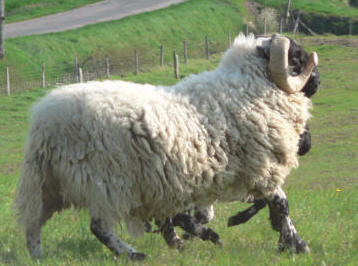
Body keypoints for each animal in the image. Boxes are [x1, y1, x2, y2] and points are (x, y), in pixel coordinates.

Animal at [16, 33, 318, 260]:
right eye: (297, 56)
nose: (316, 80)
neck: (251, 86)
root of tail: (44, 120)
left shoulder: (242, 175)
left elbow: (263, 206)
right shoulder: (259, 168)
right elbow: (281, 203)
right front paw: (297, 244)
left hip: (50, 182)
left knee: (34, 222)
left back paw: (38, 256)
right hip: (107, 181)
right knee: (99, 226)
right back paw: (134, 254)